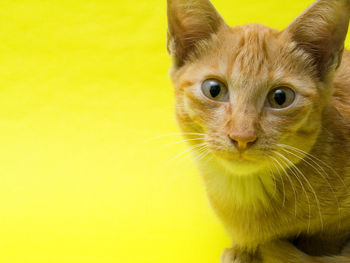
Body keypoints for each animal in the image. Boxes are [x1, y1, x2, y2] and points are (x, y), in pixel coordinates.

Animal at [166, 0, 350, 262]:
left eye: (280, 97)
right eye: (214, 90)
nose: (242, 137)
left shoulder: (337, 225)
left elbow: (322, 243)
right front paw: (241, 252)